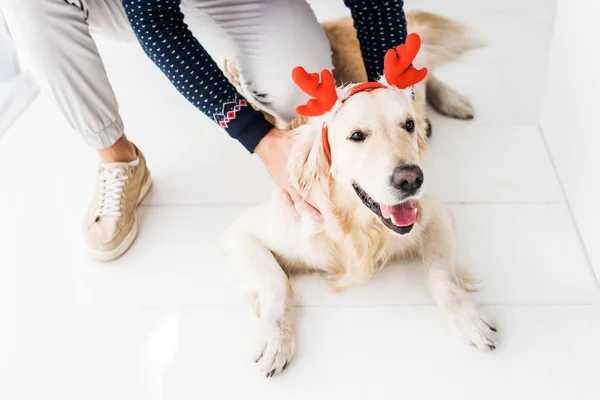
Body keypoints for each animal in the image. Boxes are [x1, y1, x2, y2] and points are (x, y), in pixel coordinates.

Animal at [223, 11, 494, 376]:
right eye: (356, 136)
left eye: (407, 126)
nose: (411, 179)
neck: (358, 227)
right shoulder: (243, 233)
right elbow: (277, 283)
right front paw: (275, 340)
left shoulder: (434, 214)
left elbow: (442, 277)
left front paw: (469, 318)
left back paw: (451, 100)